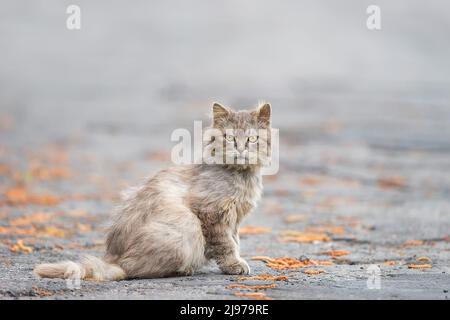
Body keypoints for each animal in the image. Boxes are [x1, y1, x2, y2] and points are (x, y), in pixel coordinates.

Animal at [34, 102, 270, 280]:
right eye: (229, 138)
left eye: (252, 139)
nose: (241, 148)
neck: (242, 177)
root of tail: (114, 258)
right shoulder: (211, 213)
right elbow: (226, 244)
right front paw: (234, 264)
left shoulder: (235, 218)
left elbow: (235, 240)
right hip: (185, 227)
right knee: (134, 270)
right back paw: (183, 270)